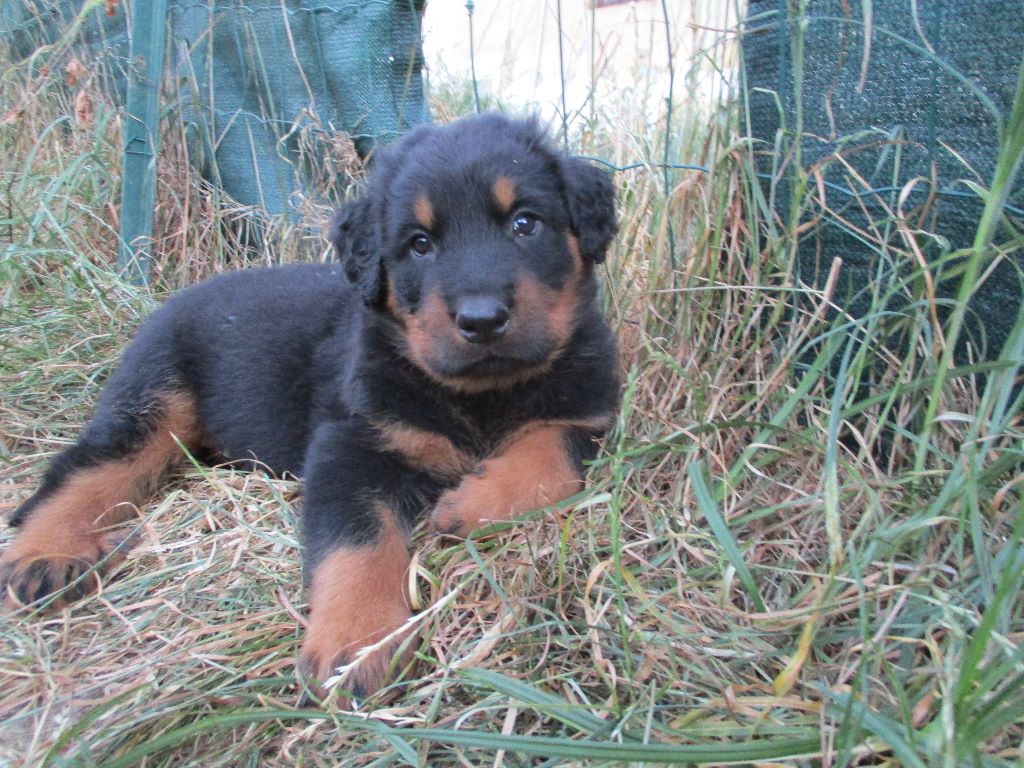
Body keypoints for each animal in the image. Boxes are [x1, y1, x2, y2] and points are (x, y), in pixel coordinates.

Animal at [1, 113, 620, 701]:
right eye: (420, 244)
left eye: (525, 224)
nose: (482, 318)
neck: (481, 393)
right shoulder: (351, 443)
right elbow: (356, 542)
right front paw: (356, 642)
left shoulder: (589, 413)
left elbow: (551, 457)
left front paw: (471, 504)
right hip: (153, 395)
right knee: (89, 465)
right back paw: (46, 555)